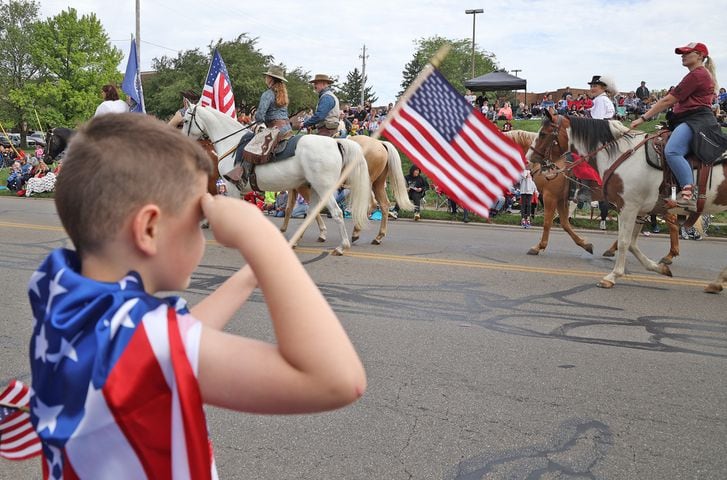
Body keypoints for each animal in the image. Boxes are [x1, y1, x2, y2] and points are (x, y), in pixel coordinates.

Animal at [183, 103, 370, 256]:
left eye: (185, 121)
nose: (183, 137)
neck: (233, 143)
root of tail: (335, 143)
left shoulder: (231, 186)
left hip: (324, 188)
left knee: (337, 213)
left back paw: (341, 247)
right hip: (315, 188)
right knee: (312, 213)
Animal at [280, 136, 416, 246]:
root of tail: (380, 143)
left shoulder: (304, 188)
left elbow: (311, 211)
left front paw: (321, 234)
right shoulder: (295, 189)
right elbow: (289, 209)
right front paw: (282, 230)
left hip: (365, 184)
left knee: (371, 204)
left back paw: (357, 231)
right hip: (377, 184)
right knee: (383, 205)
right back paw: (376, 237)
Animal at [506, 129, 684, 264]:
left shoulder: (551, 196)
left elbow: (548, 223)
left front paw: (539, 247)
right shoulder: (562, 199)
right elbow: (565, 224)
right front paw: (585, 245)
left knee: (671, 223)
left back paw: (669, 254)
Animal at [528, 112, 727, 292]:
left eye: (543, 133)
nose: (530, 158)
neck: (622, 156)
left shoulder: (628, 207)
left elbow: (623, 241)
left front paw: (612, 276)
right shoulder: (640, 209)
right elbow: (630, 243)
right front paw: (658, 268)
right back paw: (714, 281)